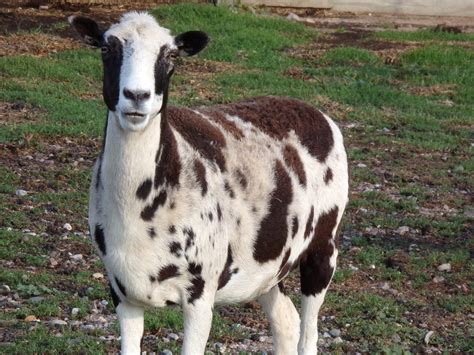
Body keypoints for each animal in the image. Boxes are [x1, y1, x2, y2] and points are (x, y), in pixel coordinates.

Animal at [69, 11, 348, 355]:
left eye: (171, 56)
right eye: (106, 49)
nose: (137, 96)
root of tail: (316, 112)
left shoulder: (201, 292)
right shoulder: (122, 291)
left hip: (324, 243)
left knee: (308, 330)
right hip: (269, 260)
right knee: (286, 320)